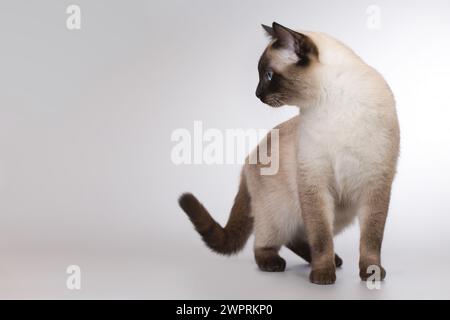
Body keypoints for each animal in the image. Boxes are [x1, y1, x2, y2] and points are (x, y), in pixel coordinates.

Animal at [178, 21, 400, 284]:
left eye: (268, 75)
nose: (257, 94)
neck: (332, 103)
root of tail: (248, 160)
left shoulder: (376, 184)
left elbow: (371, 240)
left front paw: (371, 274)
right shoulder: (314, 183)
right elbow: (321, 238)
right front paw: (322, 276)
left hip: (341, 210)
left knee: (296, 238)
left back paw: (332, 261)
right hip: (282, 213)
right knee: (267, 243)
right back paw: (277, 263)